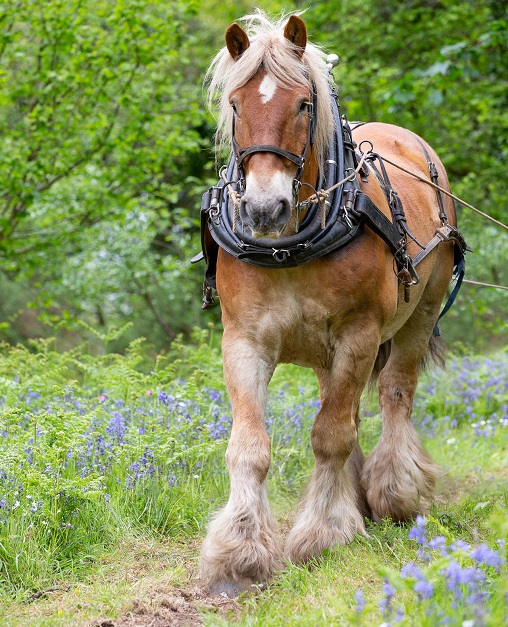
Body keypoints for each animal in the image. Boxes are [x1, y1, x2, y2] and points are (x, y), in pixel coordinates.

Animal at [198, 11, 464, 600]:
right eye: (236, 105)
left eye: (303, 103)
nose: (264, 208)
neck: (290, 246)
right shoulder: (244, 339)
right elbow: (249, 447)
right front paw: (239, 552)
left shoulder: (359, 334)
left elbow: (329, 436)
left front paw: (323, 535)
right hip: (326, 353)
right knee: (350, 409)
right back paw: (358, 499)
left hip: (418, 314)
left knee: (394, 394)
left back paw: (392, 494)